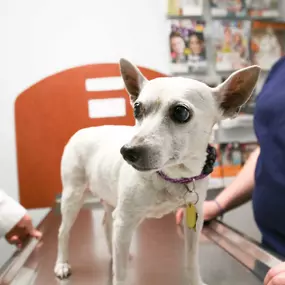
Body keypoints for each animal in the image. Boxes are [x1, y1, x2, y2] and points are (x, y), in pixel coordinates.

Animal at [53, 58, 260, 284]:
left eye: (181, 112)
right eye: (137, 109)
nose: (128, 151)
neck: (172, 176)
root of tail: (81, 131)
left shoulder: (193, 223)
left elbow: (191, 260)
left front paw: (194, 280)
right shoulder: (125, 221)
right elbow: (122, 274)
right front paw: (118, 274)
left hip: (108, 198)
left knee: (107, 225)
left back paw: (112, 253)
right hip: (73, 197)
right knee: (63, 232)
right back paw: (62, 264)